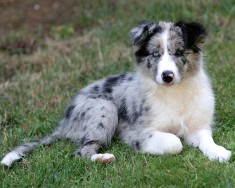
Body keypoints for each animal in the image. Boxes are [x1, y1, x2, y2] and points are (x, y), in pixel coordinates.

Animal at [0, 21, 231, 167]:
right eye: (155, 54)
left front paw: (219, 152)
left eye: (179, 52)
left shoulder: (197, 126)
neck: (174, 93)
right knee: (82, 152)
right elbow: (175, 142)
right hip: (104, 108)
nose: (167, 76)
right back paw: (103, 159)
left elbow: (206, 139)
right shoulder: (138, 132)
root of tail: (65, 121)